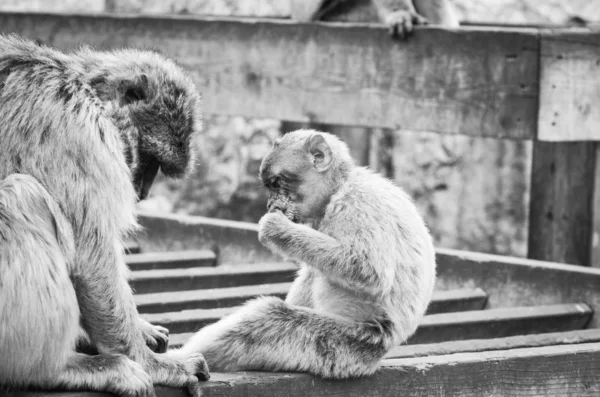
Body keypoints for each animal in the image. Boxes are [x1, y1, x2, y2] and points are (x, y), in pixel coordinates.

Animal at [0, 35, 209, 394]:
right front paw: (153, 364)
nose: (142, 191)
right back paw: (48, 370)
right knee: (22, 196)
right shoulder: (78, 135)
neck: (81, 86)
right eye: (150, 161)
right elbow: (90, 259)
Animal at [178, 129, 436, 378]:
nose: (270, 205)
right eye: (270, 186)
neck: (340, 187)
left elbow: (369, 272)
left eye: (276, 183)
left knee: (269, 318)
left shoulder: (358, 201)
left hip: (348, 344)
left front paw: (275, 228)